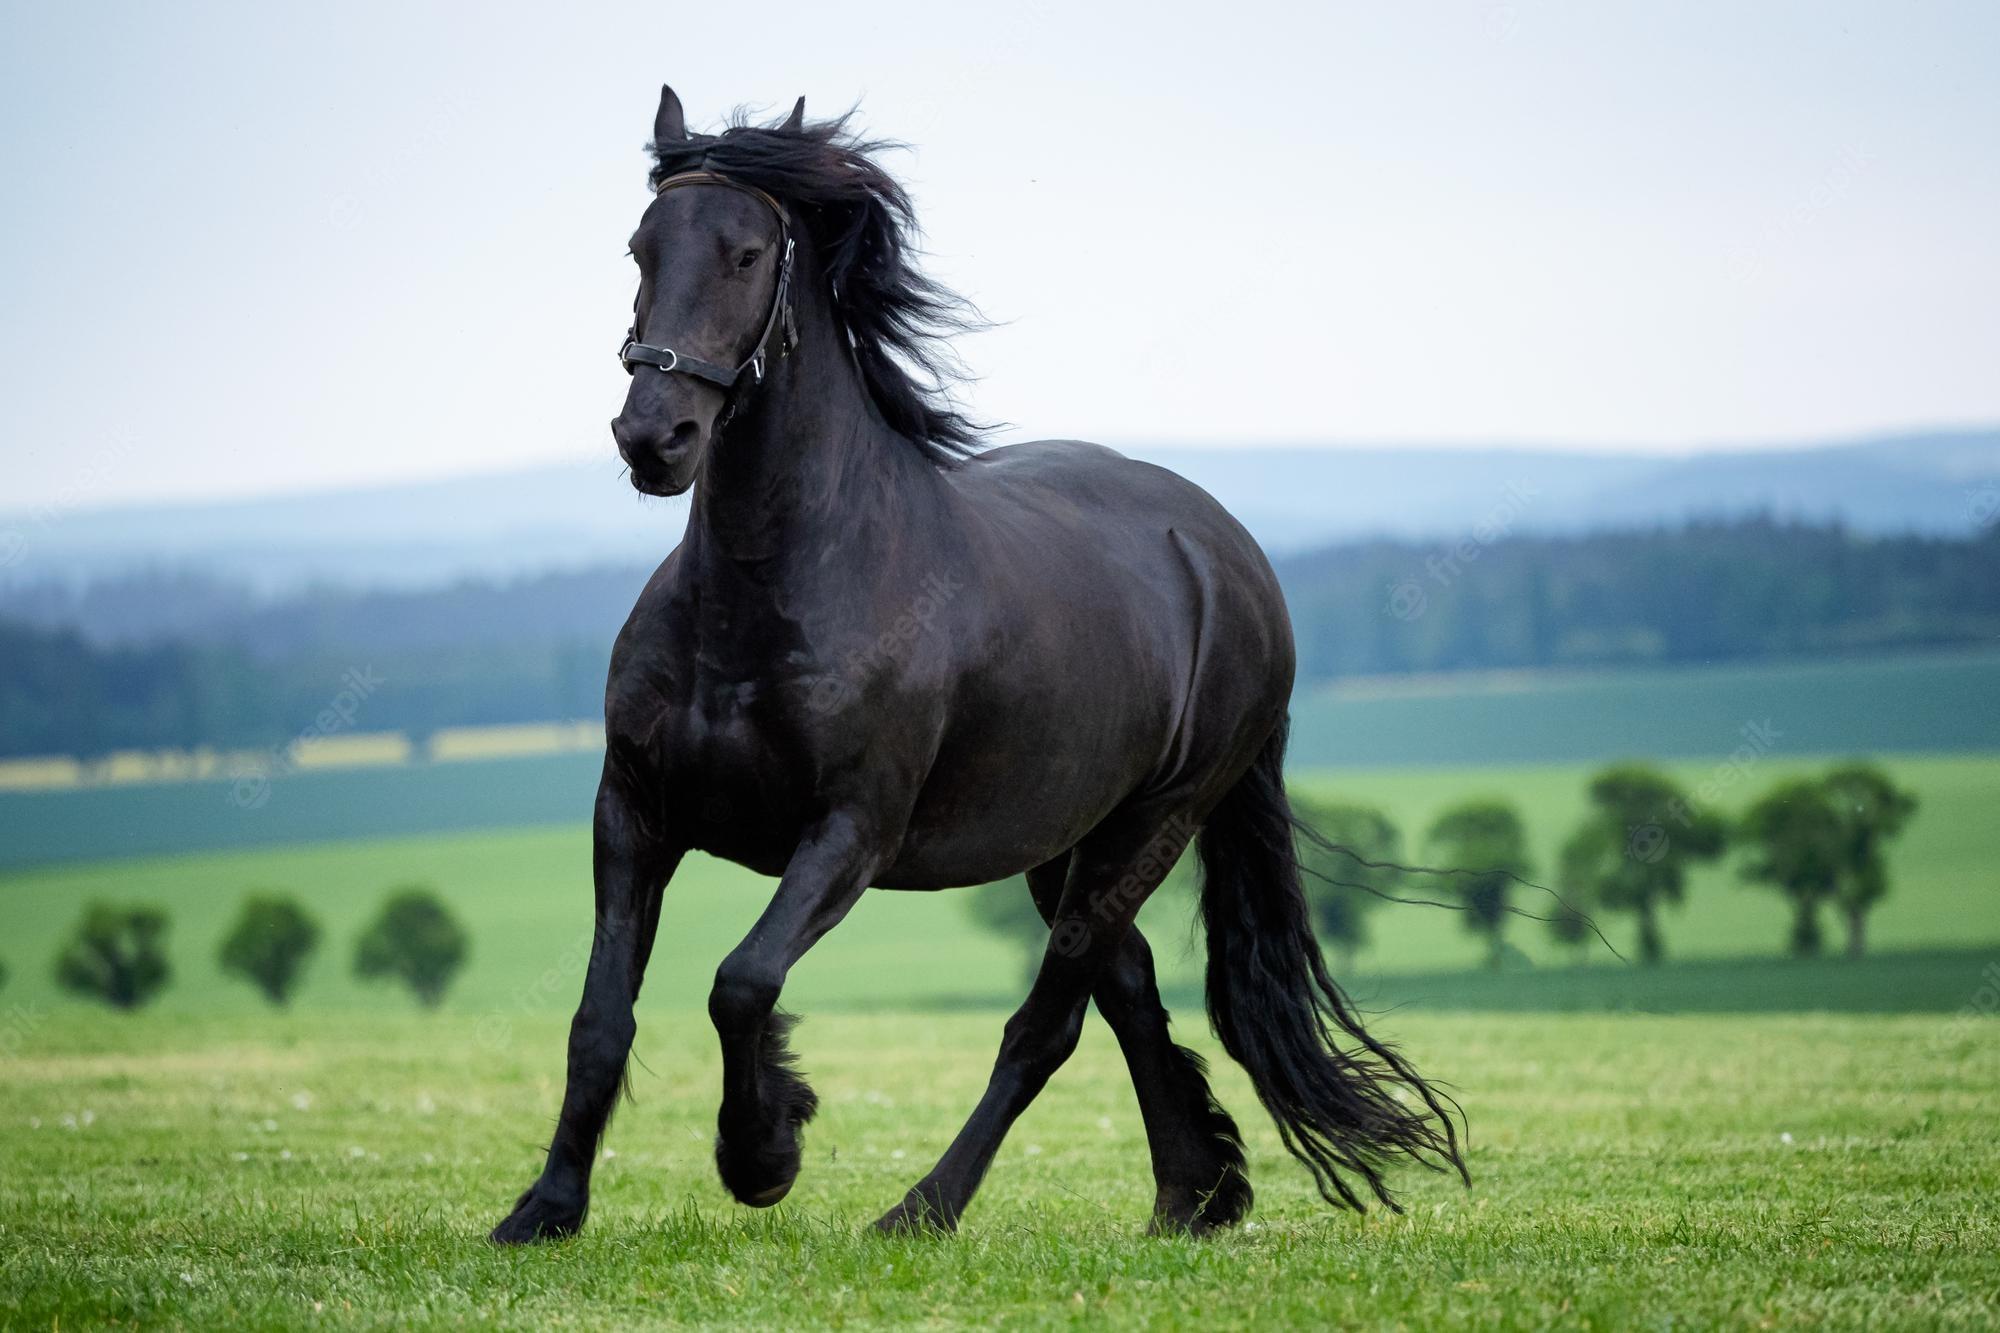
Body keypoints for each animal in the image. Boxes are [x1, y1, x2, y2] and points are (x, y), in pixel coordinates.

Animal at [490, 85, 1466, 1243]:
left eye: (745, 253)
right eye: (641, 248)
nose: (655, 436)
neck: (770, 597)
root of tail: (1224, 551)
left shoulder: (850, 831)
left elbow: (742, 980)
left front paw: (764, 1148)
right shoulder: (633, 814)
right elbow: (600, 1016)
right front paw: (544, 1209)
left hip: (1152, 823)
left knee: (1047, 1024)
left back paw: (924, 1207)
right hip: (1063, 840)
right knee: (1126, 986)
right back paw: (1192, 1195)